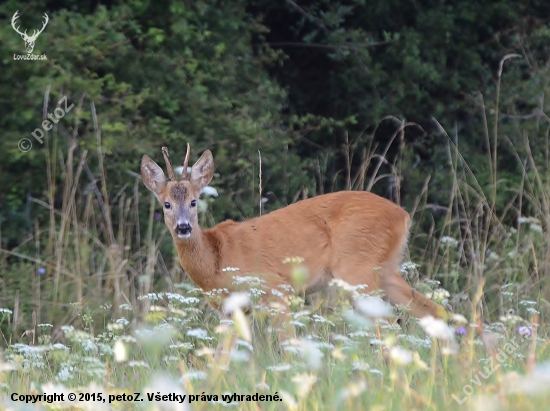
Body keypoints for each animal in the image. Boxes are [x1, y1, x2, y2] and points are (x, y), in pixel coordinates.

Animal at [142, 146, 448, 320]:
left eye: (194, 201)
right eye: (166, 204)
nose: (183, 227)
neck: (216, 263)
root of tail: (403, 215)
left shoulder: (276, 289)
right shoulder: (231, 311)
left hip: (358, 270)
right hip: (385, 269)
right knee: (433, 310)